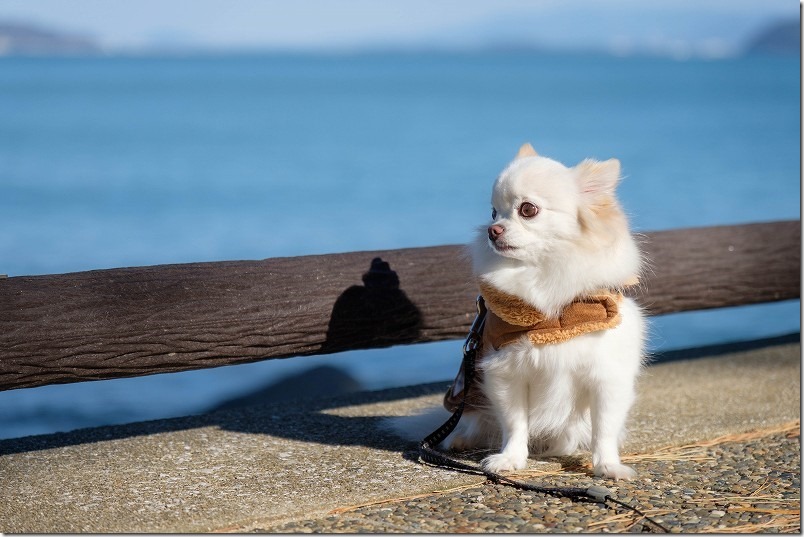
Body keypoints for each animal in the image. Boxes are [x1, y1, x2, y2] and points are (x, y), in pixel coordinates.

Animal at [386, 141, 644, 478]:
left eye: (527, 209)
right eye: (494, 212)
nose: (492, 230)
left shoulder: (606, 376)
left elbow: (604, 429)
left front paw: (608, 466)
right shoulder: (506, 373)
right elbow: (515, 424)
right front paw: (509, 459)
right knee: (475, 422)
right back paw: (460, 439)